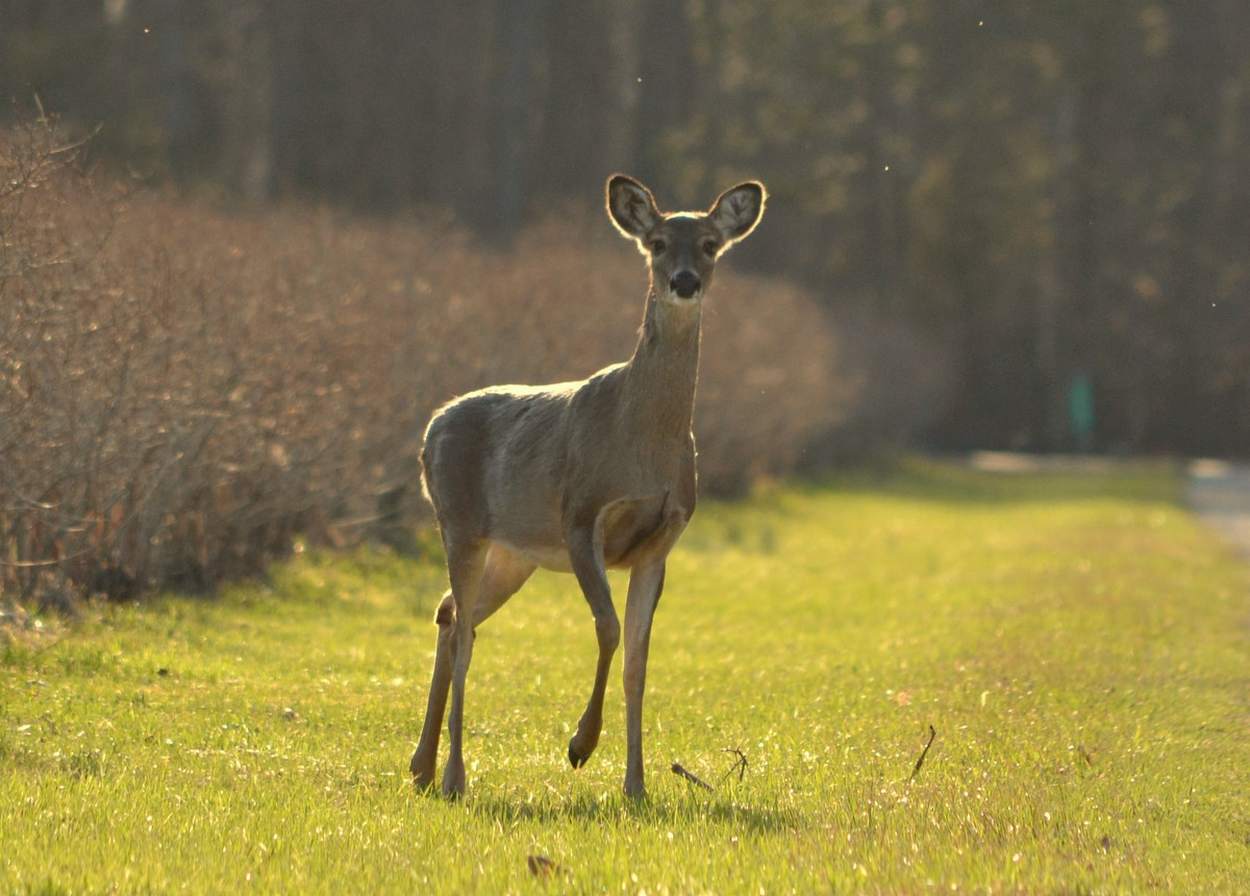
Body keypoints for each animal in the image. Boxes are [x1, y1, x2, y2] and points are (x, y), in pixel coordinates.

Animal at [410, 172, 760, 794]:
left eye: (711, 245)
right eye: (657, 243)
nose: (685, 281)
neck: (642, 442)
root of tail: (431, 427)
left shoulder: (662, 540)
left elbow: (639, 659)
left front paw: (637, 786)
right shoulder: (580, 514)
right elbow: (608, 628)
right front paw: (580, 744)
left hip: (515, 553)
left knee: (450, 615)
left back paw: (421, 767)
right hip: (459, 523)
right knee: (466, 631)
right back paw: (453, 776)